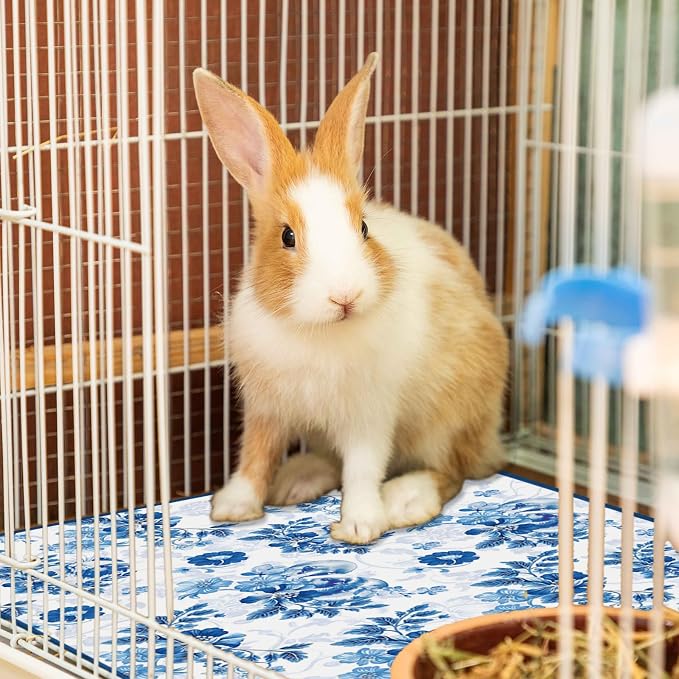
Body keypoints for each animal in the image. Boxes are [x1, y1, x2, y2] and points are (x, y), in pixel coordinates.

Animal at [192, 52, 509, 545]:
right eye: (286, 236)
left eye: (363, 227)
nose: (345, 296)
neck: (317, 330)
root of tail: (491, 440)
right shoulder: (267, 409)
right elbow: (255, 455)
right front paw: (232, 508)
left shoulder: (368, 415)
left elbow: (362, 469)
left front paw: (360, 525)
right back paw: (296, 481)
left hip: (449, 421)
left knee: (451, 472)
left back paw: (404, 500)